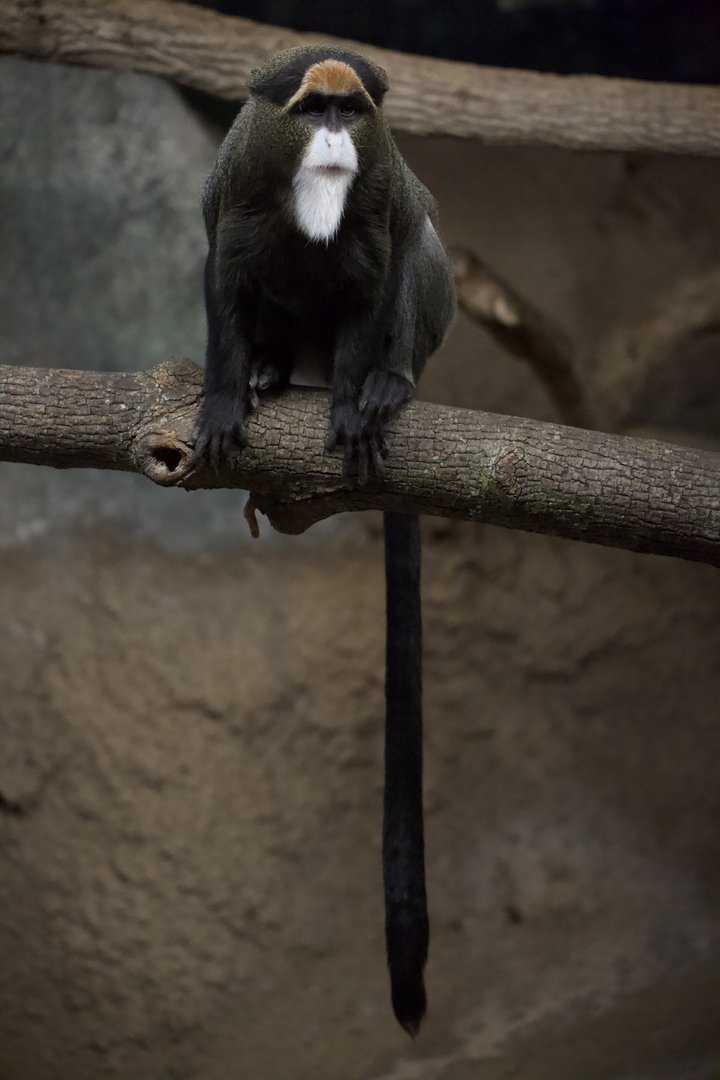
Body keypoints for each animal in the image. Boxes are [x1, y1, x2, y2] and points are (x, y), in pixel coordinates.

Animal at [193, 44, 455, 1035]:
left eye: (352, 112)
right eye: (312, 112)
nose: (340, 138)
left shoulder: (378, 202)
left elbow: (376, 273)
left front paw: (354, 402)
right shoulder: (234, 192)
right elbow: (223, 281)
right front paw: (225, 396)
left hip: (423, 319)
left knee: (417, 251)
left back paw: (386, 387)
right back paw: (269, 374)